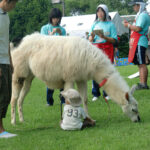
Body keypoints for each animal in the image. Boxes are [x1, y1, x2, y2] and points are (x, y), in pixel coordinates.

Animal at [10, 33, 141, 125]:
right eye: (134, 109)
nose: (138, 119)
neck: (91, 61)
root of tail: (17, 43)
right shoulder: (69, 78)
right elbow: (68, 99)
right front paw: (66, 120)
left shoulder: (81, 78)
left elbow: (85, 99)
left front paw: (89, 118)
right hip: (18, 73)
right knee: (14, 98)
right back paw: (13, 122)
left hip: (29, 76)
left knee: (21, 98)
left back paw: (22, 120)